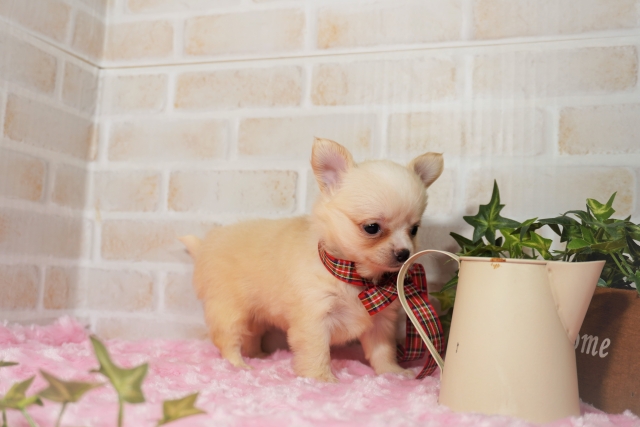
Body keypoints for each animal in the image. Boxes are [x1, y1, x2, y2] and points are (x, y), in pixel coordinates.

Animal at [180, 138, 443, 382]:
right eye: (372, 228)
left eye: (414, 229)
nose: (404, 253)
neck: (355, 277)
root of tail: (204, 247)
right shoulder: (314, 318)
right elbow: (317, 351)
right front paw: (321, 379)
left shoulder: (380, 322)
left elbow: (382, 351)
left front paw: (392, 372)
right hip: (229, 310)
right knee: (228, 341)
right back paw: (240, 366)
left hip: (255, 317)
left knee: (251, 337)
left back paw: (259, 356)